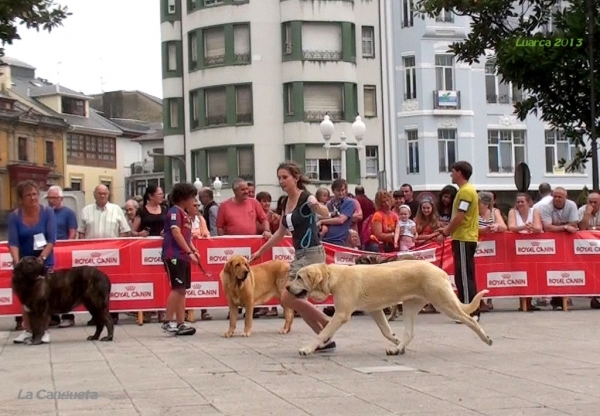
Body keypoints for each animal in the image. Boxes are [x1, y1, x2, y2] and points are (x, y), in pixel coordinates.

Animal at [288, 260, 492, 354]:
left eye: (299, 277)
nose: (287, 288)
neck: (332, 276)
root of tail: (440, 270)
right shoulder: (375, 310)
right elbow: (386, 331)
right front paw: (395, 341)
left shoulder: (341, 314)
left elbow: (322, 332)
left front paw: (307, 349)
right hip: (411, 306)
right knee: (409, 333)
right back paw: (397, 349)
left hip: (444, 304)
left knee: (469, 319)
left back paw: (486, 338)